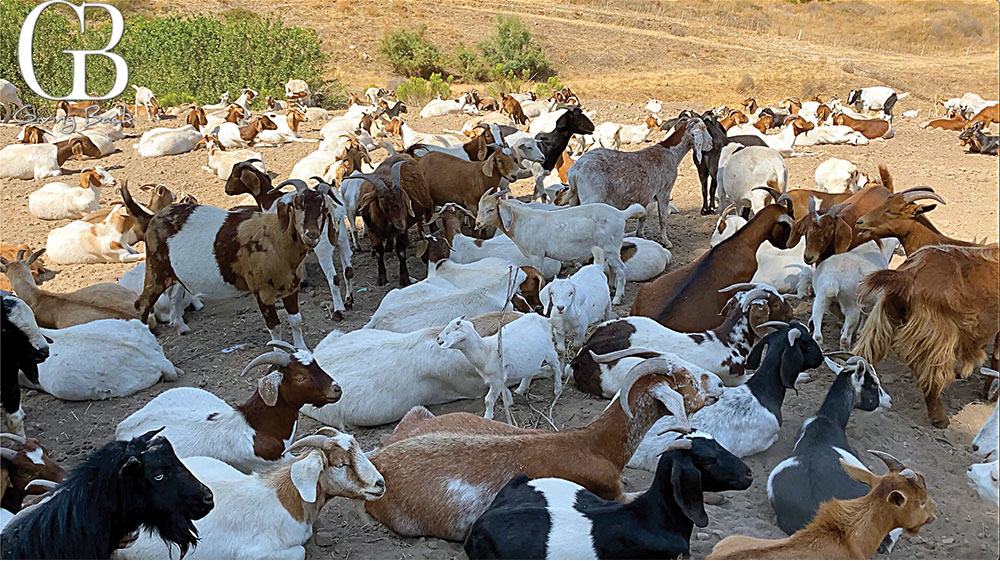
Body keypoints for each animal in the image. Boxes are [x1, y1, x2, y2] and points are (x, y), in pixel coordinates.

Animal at [364, 358, 723, 540]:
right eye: (687, 382)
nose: (718, 385)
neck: (593, 446)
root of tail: (378, 460)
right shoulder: (612, 493)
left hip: (419, 414)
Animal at [567, 117, 712, 248]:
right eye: (704, 128)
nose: (711, 144)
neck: (671, 151)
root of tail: (575, 170)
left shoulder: (645, 195)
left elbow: (643, 216)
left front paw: (641, 235)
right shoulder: (664, 192)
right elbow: (662, 218)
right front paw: (666, 242)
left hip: (575, 199)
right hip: (591, 199)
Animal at [854, 243, 999, 428]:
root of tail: (908, 274)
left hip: (883, 320)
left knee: (863, 355)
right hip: (937, 336)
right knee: (932, 378)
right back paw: (940, 419)